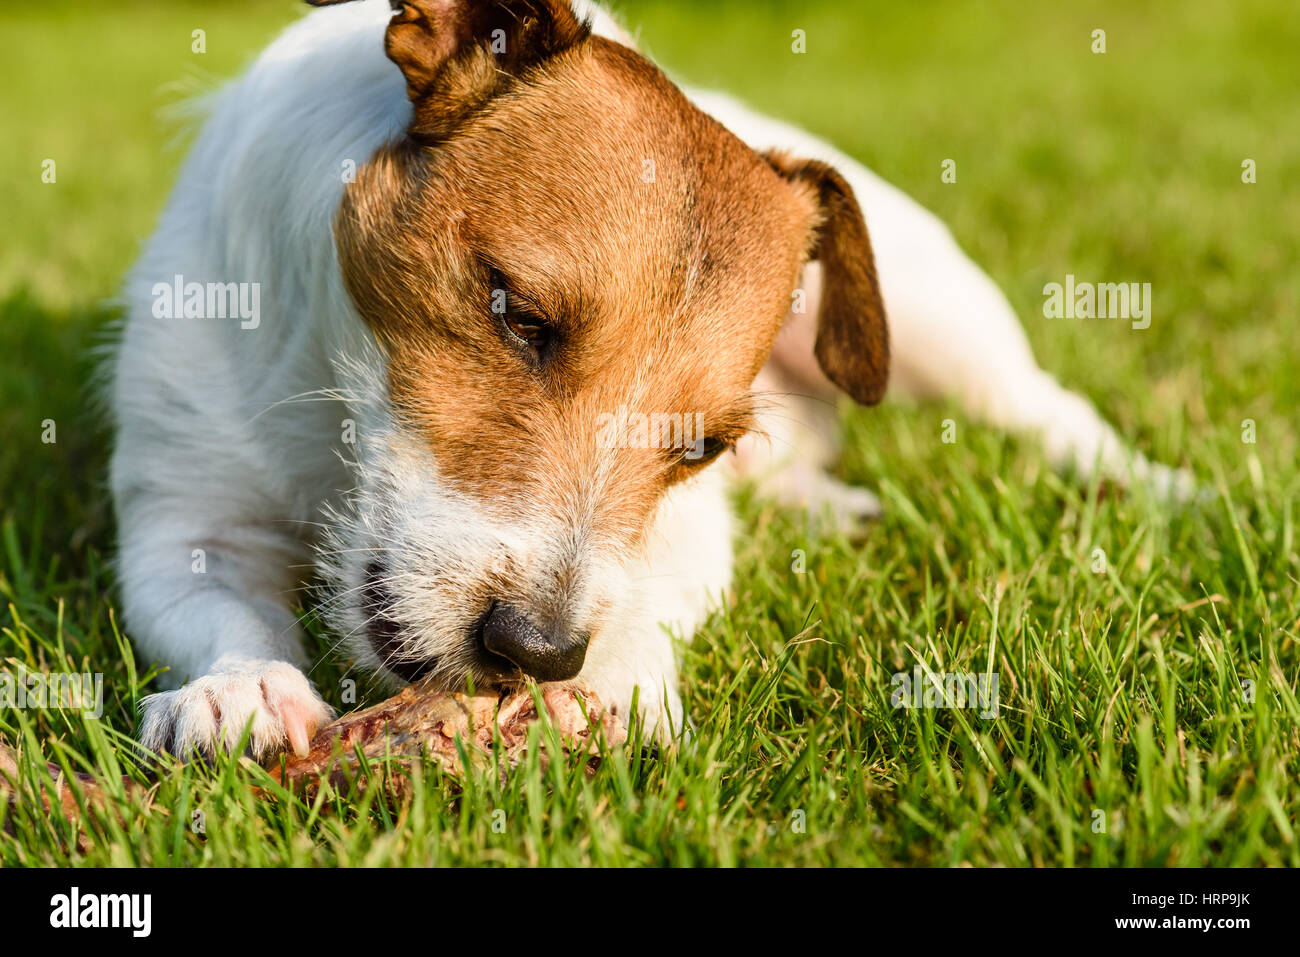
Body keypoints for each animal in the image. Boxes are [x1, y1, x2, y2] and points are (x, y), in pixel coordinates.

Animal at [114, 0, 1190, 764]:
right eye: (517, 314)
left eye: (701, 445)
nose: (538, 651)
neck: (331, 404)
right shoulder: (184, 519)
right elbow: (219, 600)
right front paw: (241, 686)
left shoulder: (684, 537)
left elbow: (656, 596)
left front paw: (606, 681)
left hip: (936, 317)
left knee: (1044, 406)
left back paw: (1162, 487)